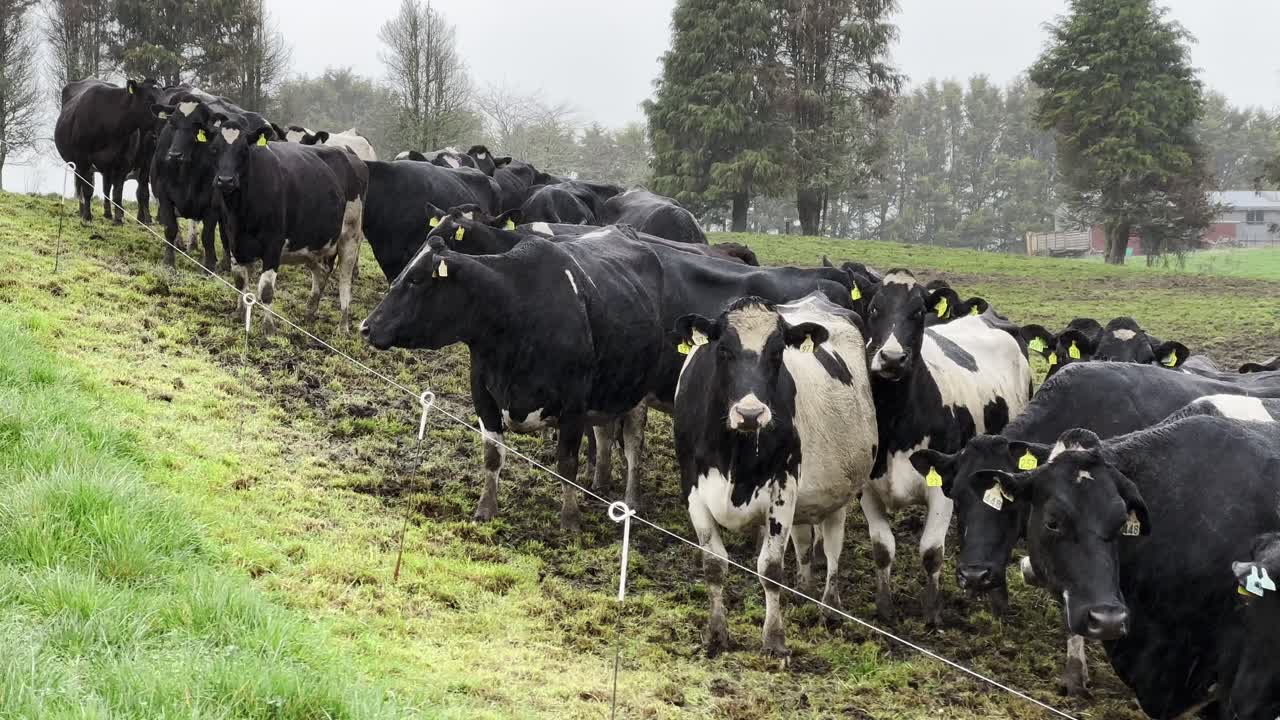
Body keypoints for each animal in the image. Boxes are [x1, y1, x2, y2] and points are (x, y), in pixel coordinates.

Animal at [55, 78, 163, 223]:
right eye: (149, 99)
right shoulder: (84, 159)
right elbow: (88, 189)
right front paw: (87, 217)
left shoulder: (125, 162)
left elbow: (118, 193)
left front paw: (118, 219)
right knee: (83, 187)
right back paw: (83, 212)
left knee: (108, 188)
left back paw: (109, 214)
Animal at [212, 120, 368, 332]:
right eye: (214, 148)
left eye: (244, 150)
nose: (225, 180)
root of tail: (353, 158)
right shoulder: (234, 241)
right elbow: (240, 281)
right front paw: (239, 314)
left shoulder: (273, 245)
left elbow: (266, 289)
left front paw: (268, 328)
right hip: (316, 244)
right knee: (322, 272)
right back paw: (310, 312)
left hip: (350, 236)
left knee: (345, 280)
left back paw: (343, 326)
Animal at [361, 225, 855, 530]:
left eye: (415, 282)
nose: (367, 327)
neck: (514, 311)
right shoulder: (483, 394)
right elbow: (492, 456)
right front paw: (486, 509)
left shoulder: (574, 403)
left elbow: (566, 462)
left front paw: (569, 518)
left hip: (633, 392)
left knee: (632, 446)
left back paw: (630, 499)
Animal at [673, 294, 876, 657]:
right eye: (723, 350)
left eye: (778, 353)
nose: (750, 414)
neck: (733, 456)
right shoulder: (693, 486)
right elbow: (713, 565)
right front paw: (715, 634)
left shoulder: (783, 488)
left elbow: (770, 568)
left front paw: (774, 640)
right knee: (806, 541)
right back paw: (802, 592)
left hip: (840, 492)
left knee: (833, 548)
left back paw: (829, 606)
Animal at [860, 269, 1031, 626]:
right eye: (874, 309)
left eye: (917, 313)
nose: (892, 358)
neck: (895, 421)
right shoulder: (867, 487)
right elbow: (882, 549)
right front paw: (885, 608)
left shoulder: (941, 488)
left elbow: (931, 552)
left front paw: (933, 612)